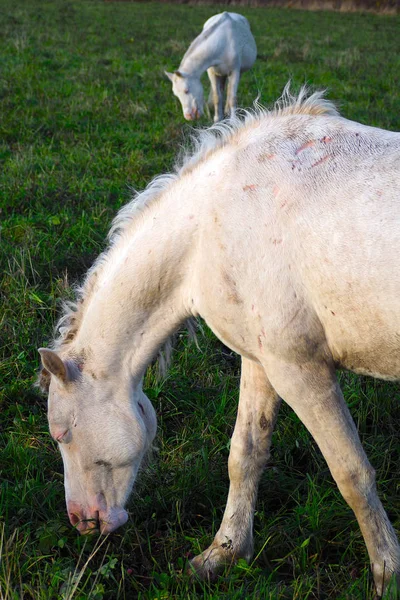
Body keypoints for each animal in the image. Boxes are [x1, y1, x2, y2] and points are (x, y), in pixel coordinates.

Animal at [39, 86, 400, 596]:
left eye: (62, 434)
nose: (82, 521)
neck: (210, 225)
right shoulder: (262, 361)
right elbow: (244, 454)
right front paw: (223, 553)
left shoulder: (301, 370)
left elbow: (352, 473)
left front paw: (388, 572)